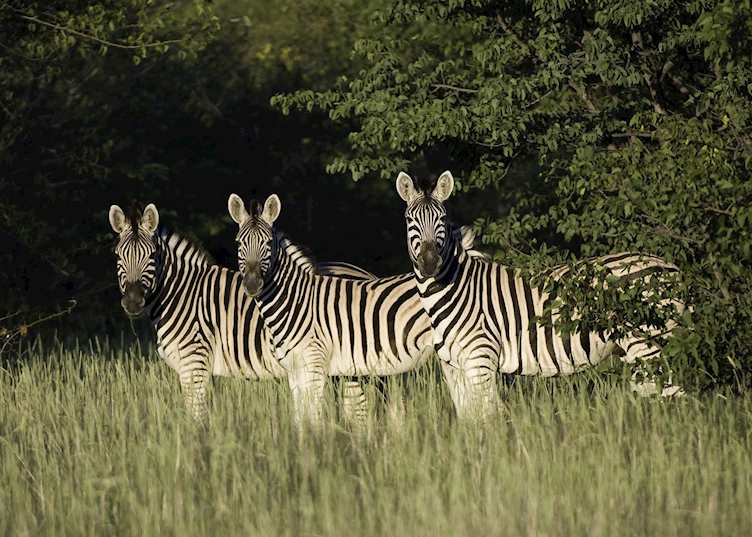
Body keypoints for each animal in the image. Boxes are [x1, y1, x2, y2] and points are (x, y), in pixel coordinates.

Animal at [108, 203, 375, 422]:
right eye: (118, 255)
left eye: (152, 256)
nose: (132, 302)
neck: (182, 293)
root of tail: (364, 273)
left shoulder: (194, 363)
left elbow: (196, 418)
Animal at [394, 170, 684, 418]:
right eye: (409, 220)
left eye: (442, 219)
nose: (429, 263)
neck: (452, 289)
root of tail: (670, 266)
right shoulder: (454, 366)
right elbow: (469, 418)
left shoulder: (480, 359)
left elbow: (489, 418)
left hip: (650, 344)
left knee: (674, 397)